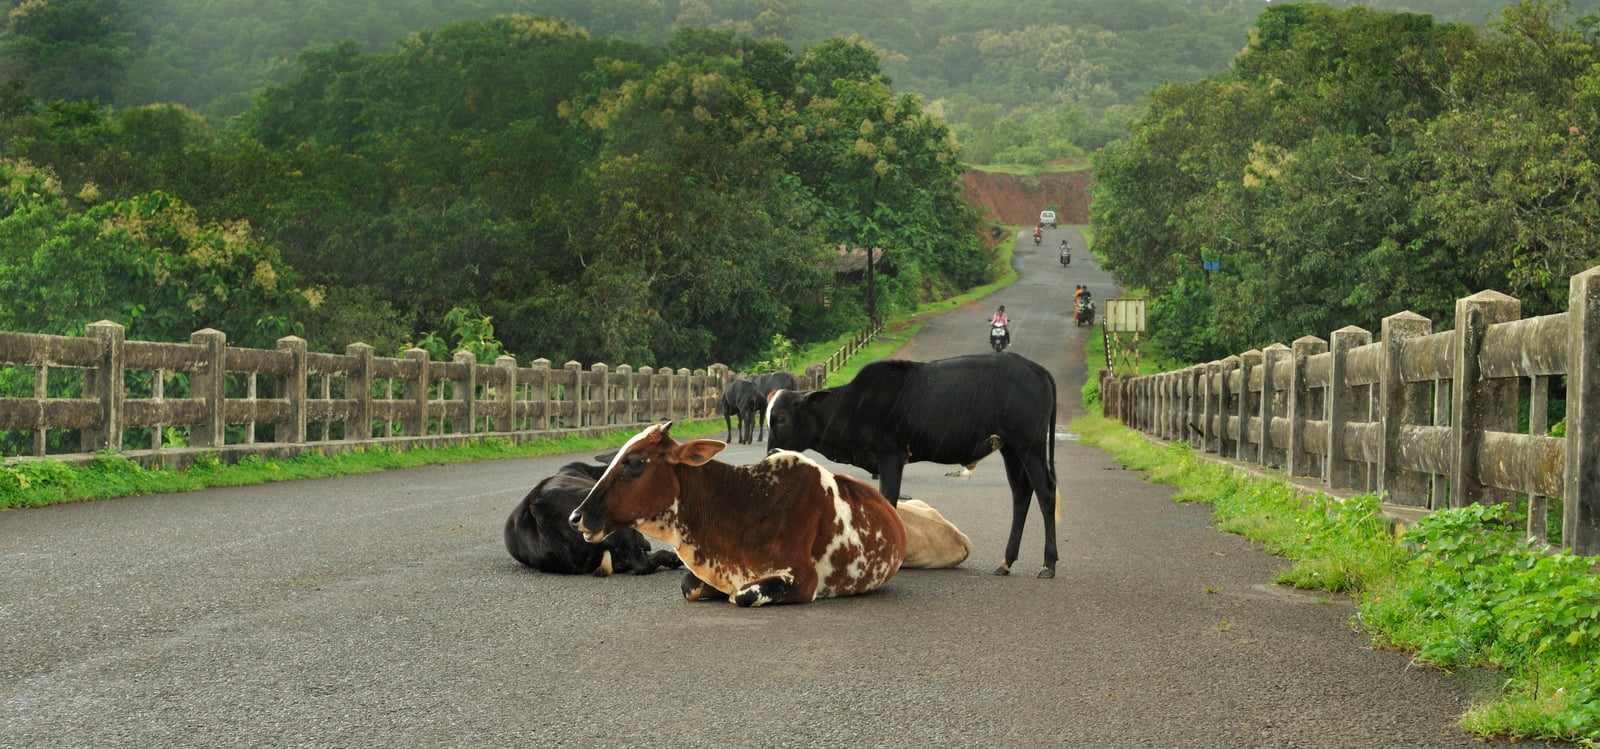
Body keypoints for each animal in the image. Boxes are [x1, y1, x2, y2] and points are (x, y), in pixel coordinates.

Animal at [765, 352, 1061, 578]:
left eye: (781, 418)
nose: (770, 453)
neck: (853, 405)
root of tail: (1036, 369)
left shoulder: (891, 456)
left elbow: (889, 500)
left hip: (1030, 445)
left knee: (1045, 493)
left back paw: (1048, 564)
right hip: (1011, 448)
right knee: (1021, 494)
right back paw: (1006, 562)